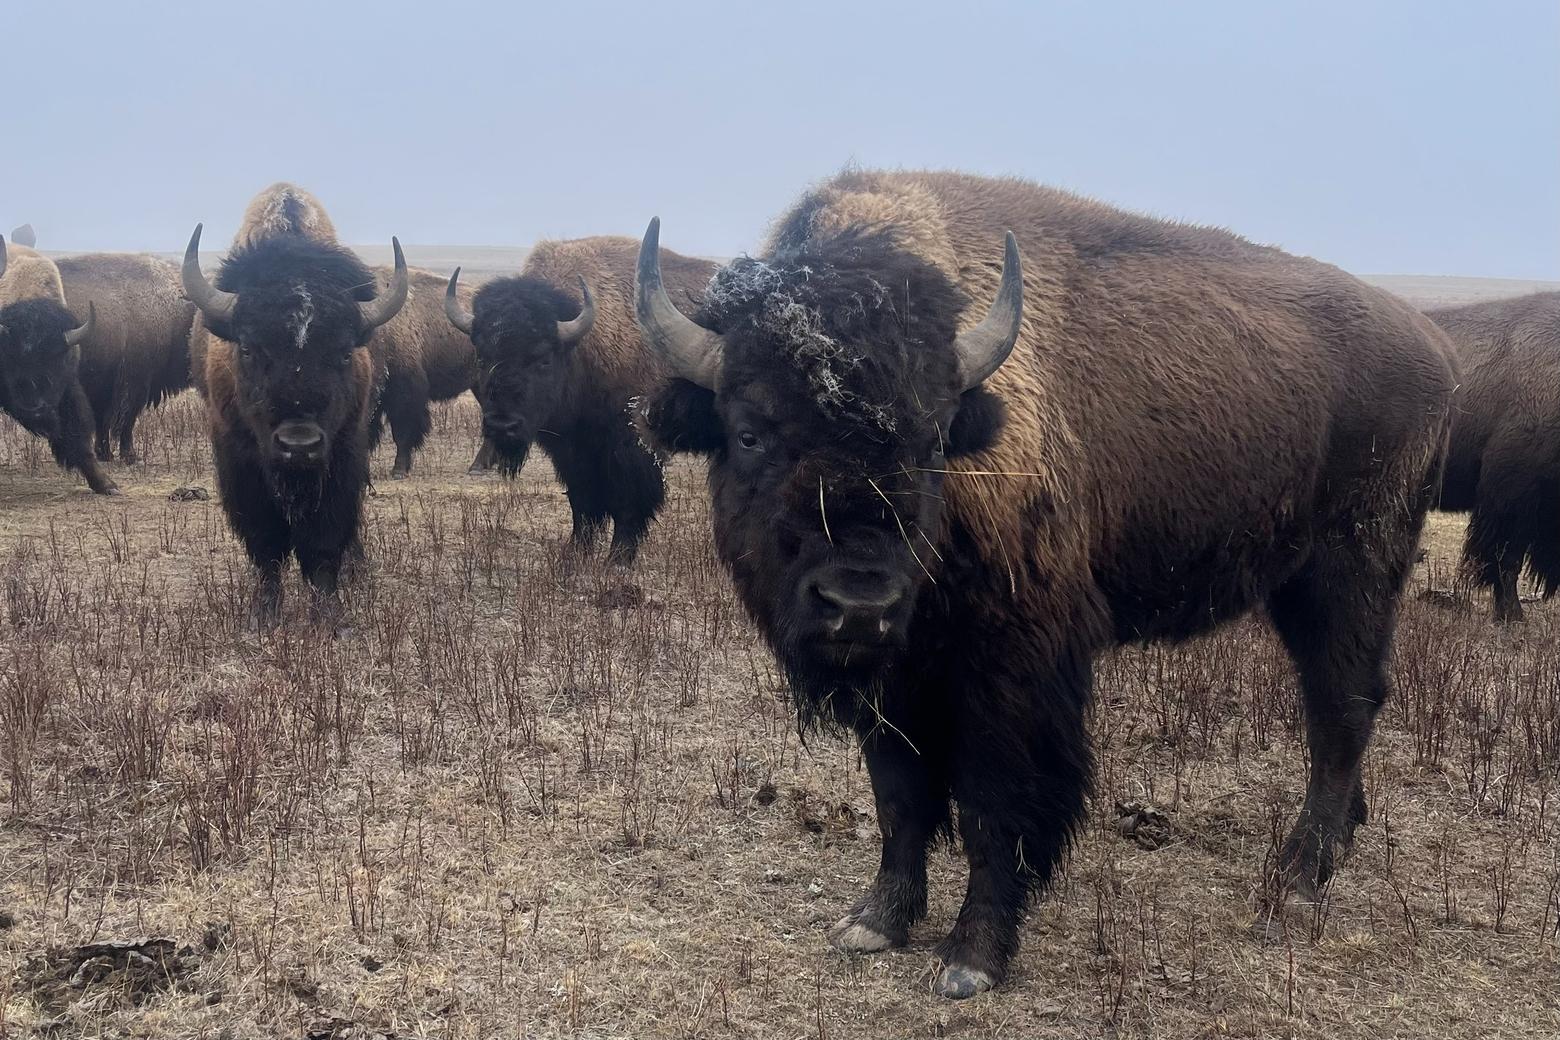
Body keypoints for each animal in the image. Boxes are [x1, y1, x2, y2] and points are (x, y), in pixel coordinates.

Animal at [0, 235, 116, 495]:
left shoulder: (67, 389)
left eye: (58, 358)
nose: (36, 409)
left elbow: (79, 436)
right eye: (9, 359)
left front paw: (106, 485)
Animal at [443, 238, 714, 561]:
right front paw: (574, 554)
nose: (501, 426)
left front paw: (618, 559)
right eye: (482, 358)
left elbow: (630, 502)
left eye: (544, 359)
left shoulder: (632, 446)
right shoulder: (571, 450)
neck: (583, 347)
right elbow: (582, 501)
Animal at [633, 170, 1460, 997]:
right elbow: (899, 794)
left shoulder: (1012, 671)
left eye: (934, 441)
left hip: (1348, 574)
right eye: (748, 433)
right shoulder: (896, 679)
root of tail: (1436, 350)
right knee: (1338, 712)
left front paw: (972, 958)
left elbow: (995, 804)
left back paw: (1295, 880)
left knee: (1341, 708)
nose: (859, 602)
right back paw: (1333, 846)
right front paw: (876, 921)